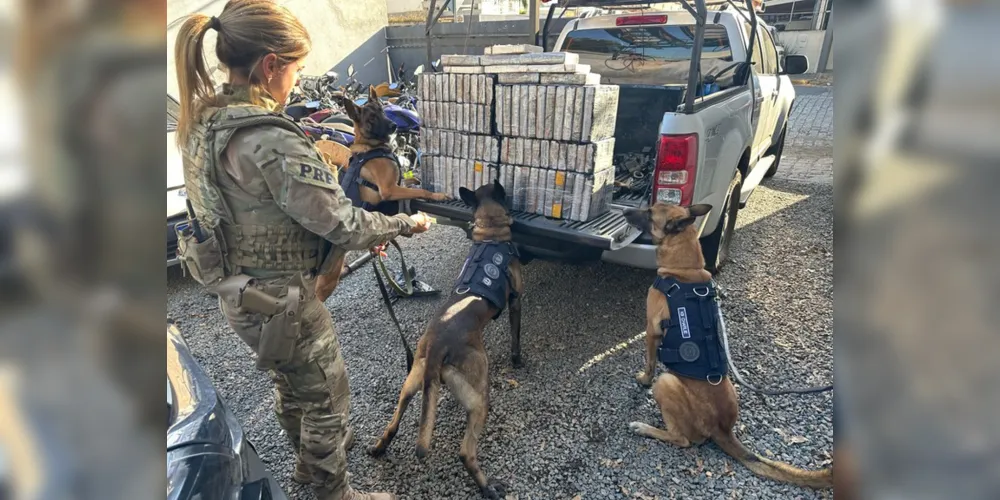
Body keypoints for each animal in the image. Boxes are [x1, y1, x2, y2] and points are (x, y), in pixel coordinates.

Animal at [314, 86, 452, 302]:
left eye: (381, 111)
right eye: (371, 117)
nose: (394, 125)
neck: (372, 147)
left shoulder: (398, 183)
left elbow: (413, 182)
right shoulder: (389, 189)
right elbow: (419, 190)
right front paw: (437, 195)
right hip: (329, 278)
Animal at [368, 181, 524, 500]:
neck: (490, 234)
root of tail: (437, 347)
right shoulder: (516, 300)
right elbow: (516, 337)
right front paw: (518, 360)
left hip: (411, 383)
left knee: (393, 423)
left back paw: (379, 448)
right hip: (479, 396)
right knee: (466, 452)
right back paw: (488, 487)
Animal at [624, 203, 836, 488]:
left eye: (649, 212)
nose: (625, 212)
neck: (685, 270)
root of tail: (722, 428)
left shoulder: (651, 330)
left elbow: (649, 362)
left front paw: (643, 380)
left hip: (666, 383)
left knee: (683, 439)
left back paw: (644, 428)